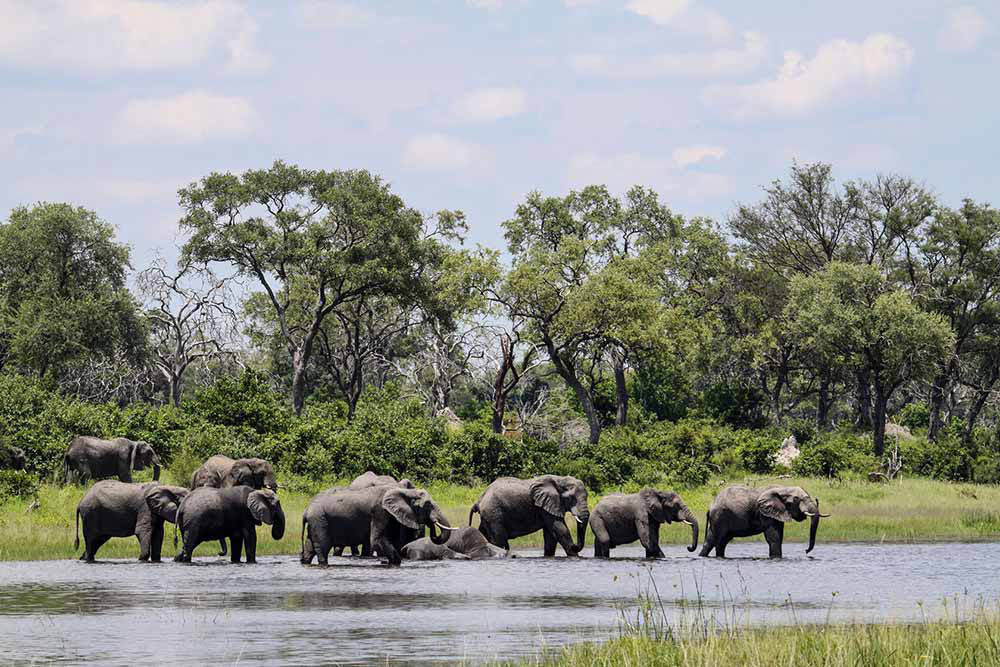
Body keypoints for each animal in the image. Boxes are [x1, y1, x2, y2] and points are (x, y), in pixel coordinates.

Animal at [296, 482, 454, 568]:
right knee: (322, 548)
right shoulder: (380, 512)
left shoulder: (392, 515)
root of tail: (305, 511)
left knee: (310, 548)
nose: (432, 524)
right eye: (428, 505)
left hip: (315, 523)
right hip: (319, 521)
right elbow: (377, 540)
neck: (405, 491)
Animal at [696, 486, 828, 560]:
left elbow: (778, 536)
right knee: (717, 540)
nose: (806, 551)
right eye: (796, 499)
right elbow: (773, 537)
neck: (782, 488)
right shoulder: (765, 513)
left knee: (716, 541)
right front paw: (775, 558)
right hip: (720, 517)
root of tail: (710, 507)